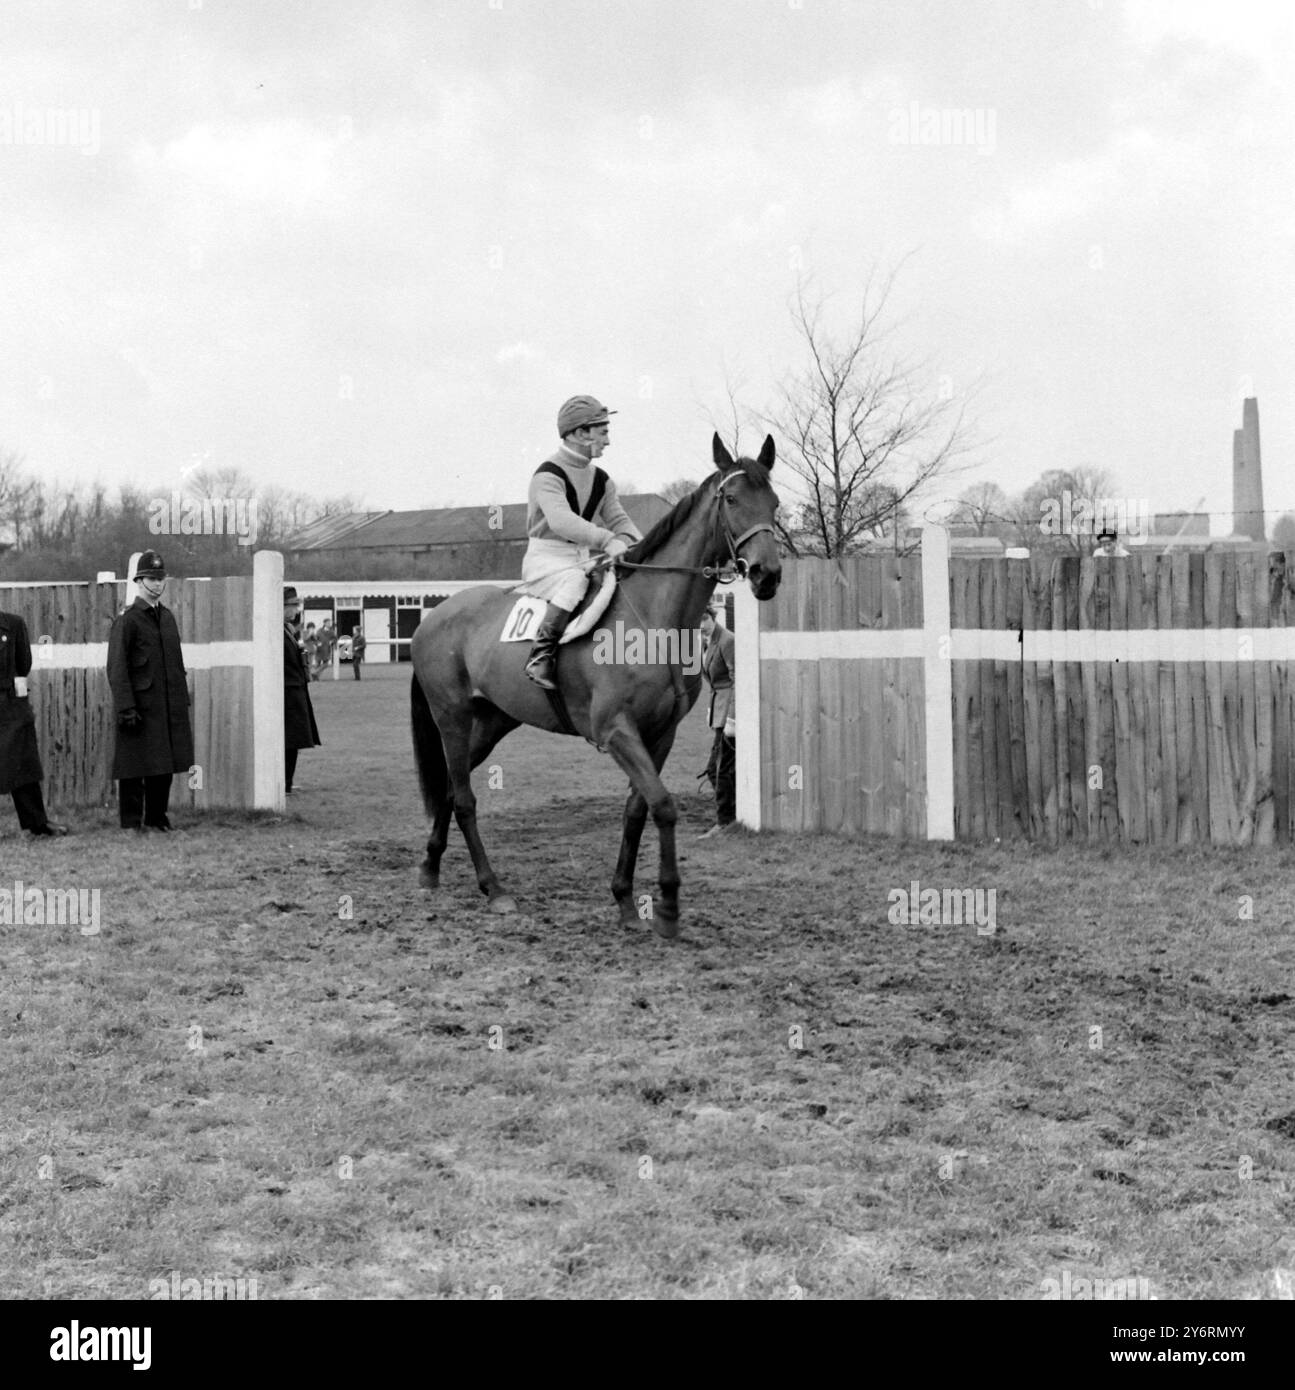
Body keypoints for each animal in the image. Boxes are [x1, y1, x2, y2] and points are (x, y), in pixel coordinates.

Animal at [408, 430, 783, 934]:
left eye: (774, 504)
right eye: (732, 499)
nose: (767, 574)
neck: (653, 619)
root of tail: (432, 617)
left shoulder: (659, 735)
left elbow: (637, 809)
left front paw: (625, 897)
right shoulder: (616, 730)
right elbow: (663, 804)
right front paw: (668, 905)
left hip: (491, 723)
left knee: (451, 788)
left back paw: (431, 868)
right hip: (451, 717)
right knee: (464, 798)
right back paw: (493, 887)